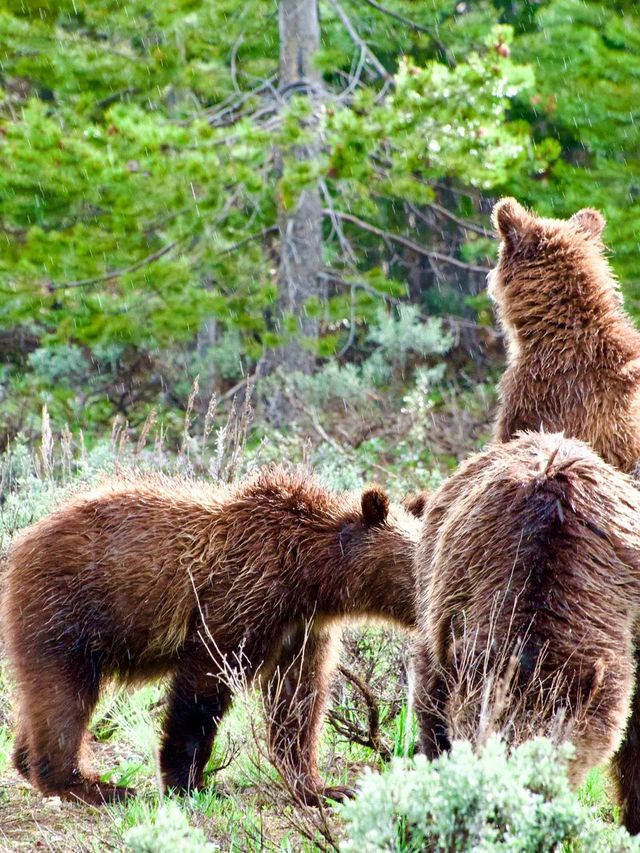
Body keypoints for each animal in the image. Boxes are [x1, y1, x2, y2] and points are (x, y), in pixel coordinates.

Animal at [0, 466, 420, 804]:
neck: (307, 574)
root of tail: (24, 538)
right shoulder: (241, 596)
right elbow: (204, 686)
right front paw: (188, 782)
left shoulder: (301, 629)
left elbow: (298, 701)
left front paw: (323, 787)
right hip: (70, 608)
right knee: (65, 696)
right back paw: (93, 786)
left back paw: (29, 762)